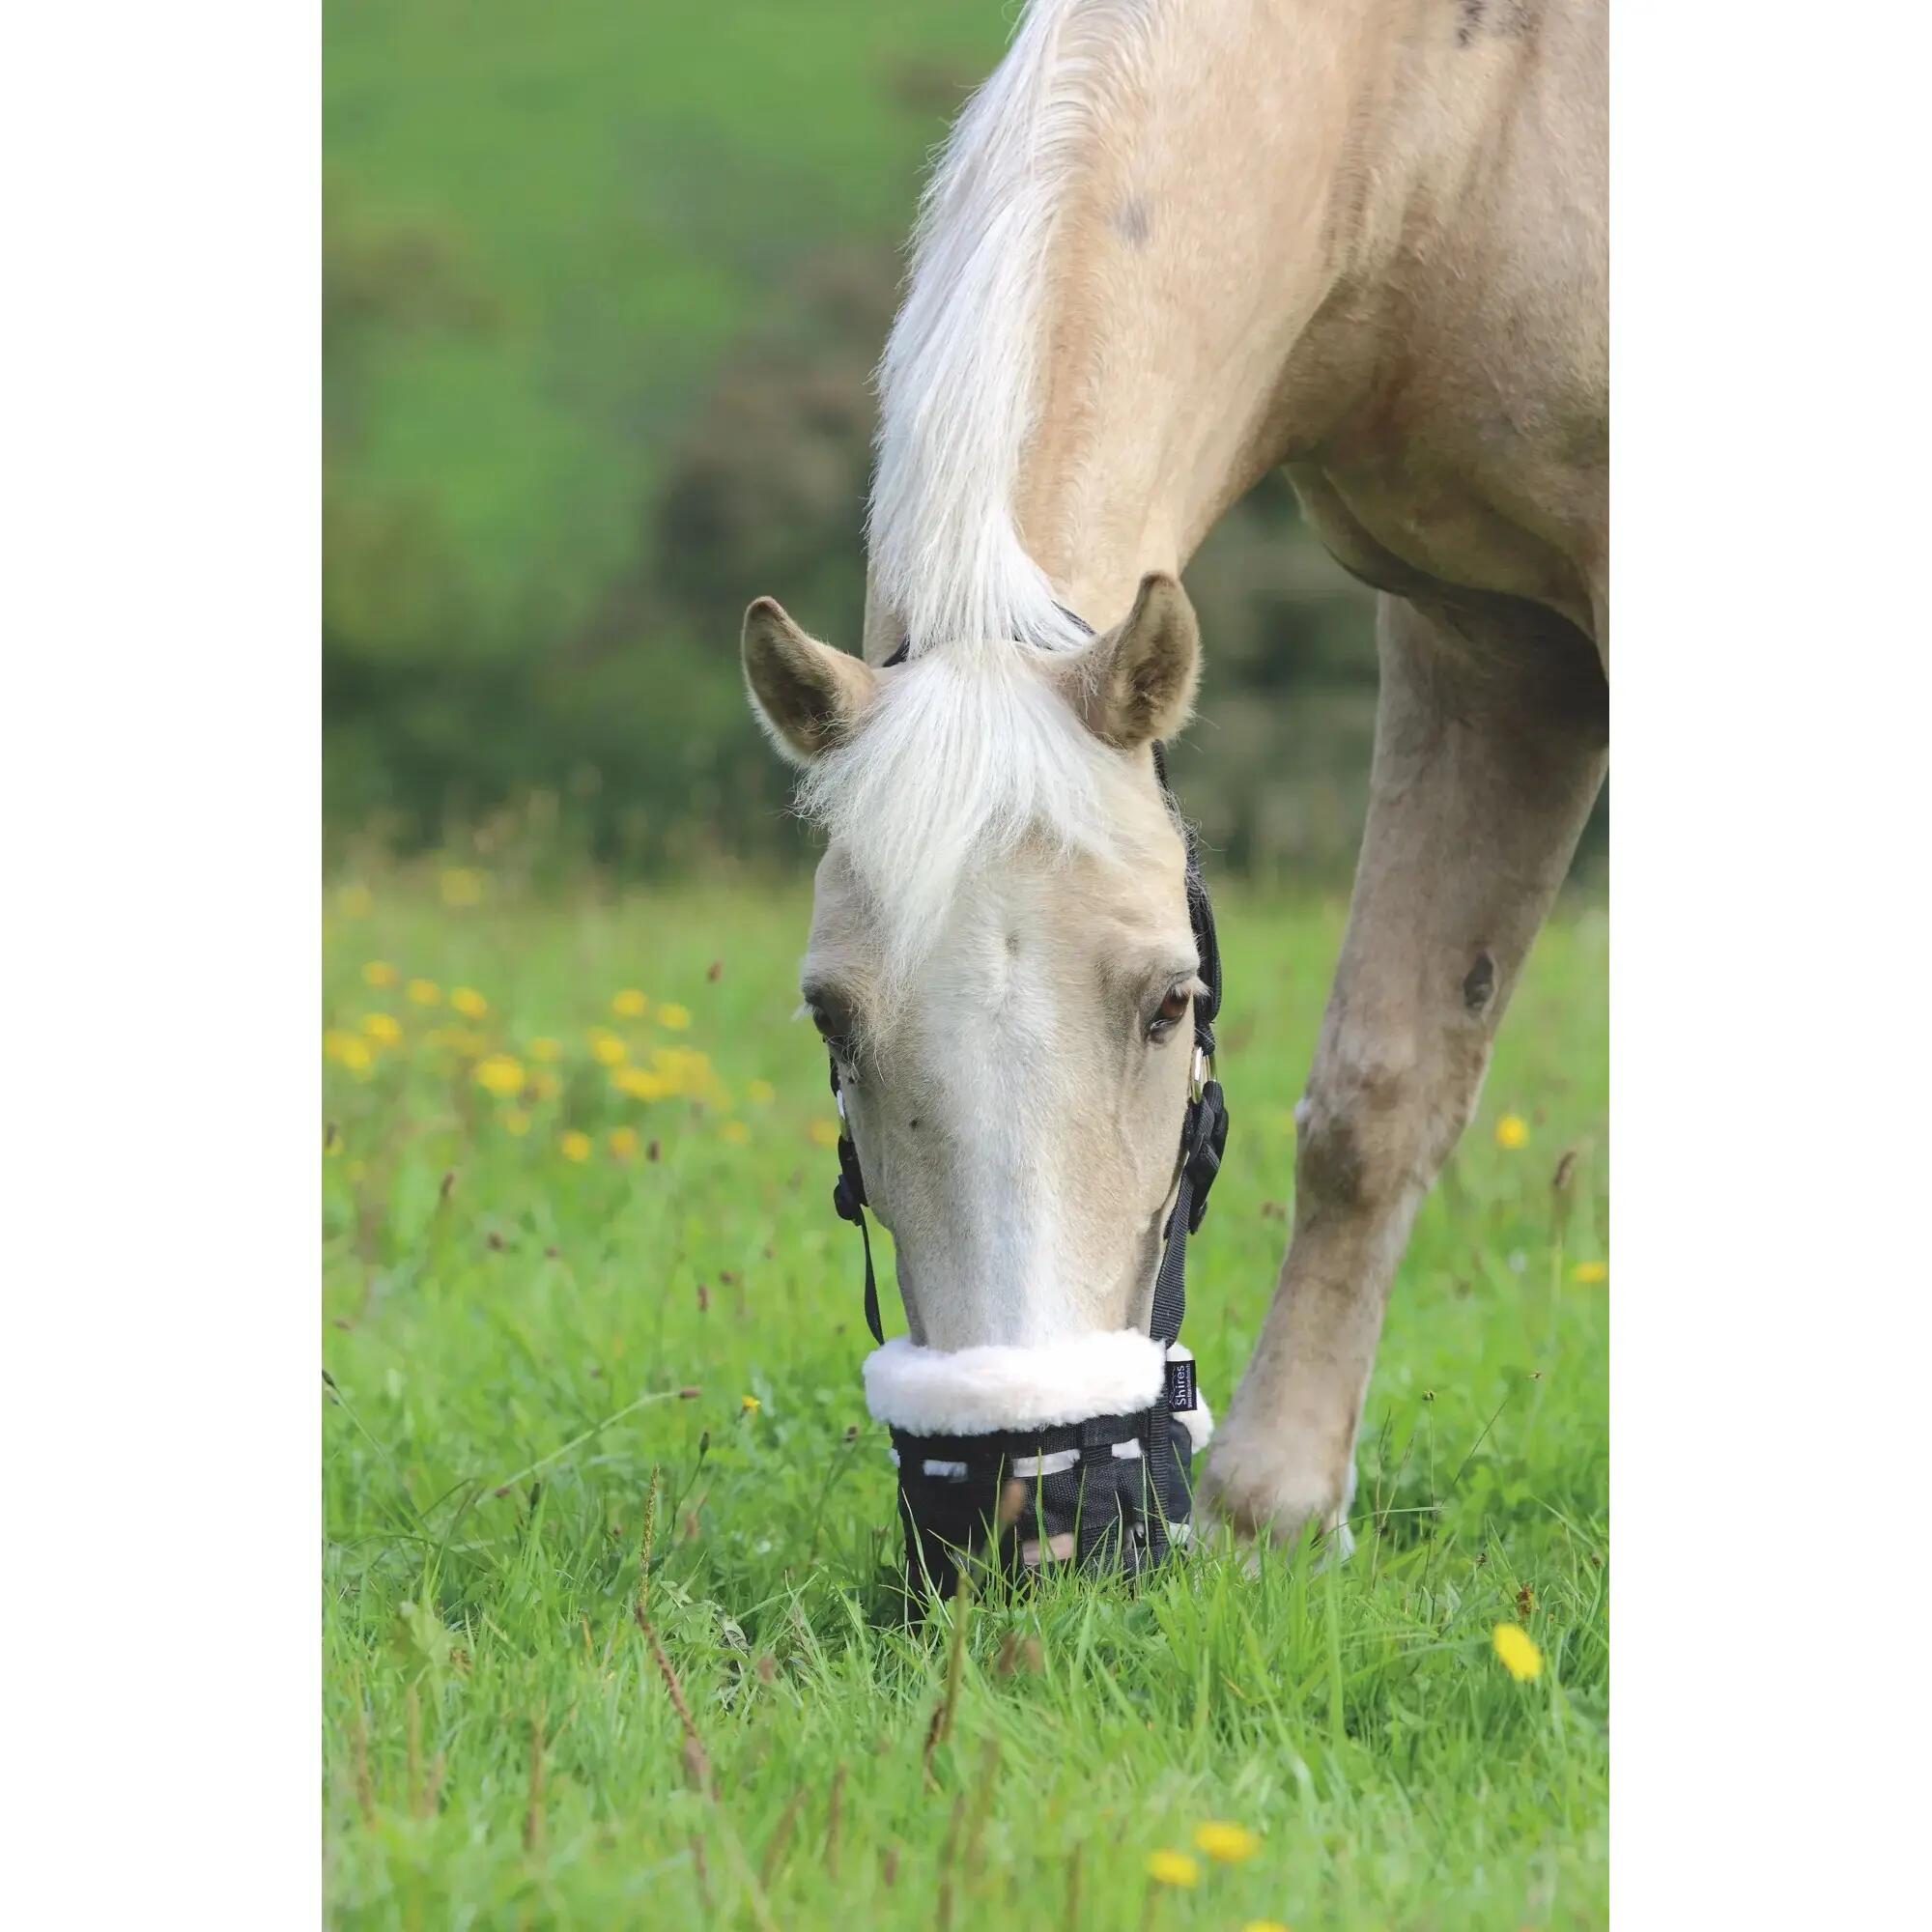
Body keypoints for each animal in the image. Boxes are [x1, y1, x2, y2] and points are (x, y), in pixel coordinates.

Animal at [740, 0, 1607, 1558]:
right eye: (831, 1020)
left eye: (1170, 1005)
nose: (1027, 1515)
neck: (1444, 113)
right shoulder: (1487, 636)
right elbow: (1381, 1088)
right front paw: (1274, 1517)